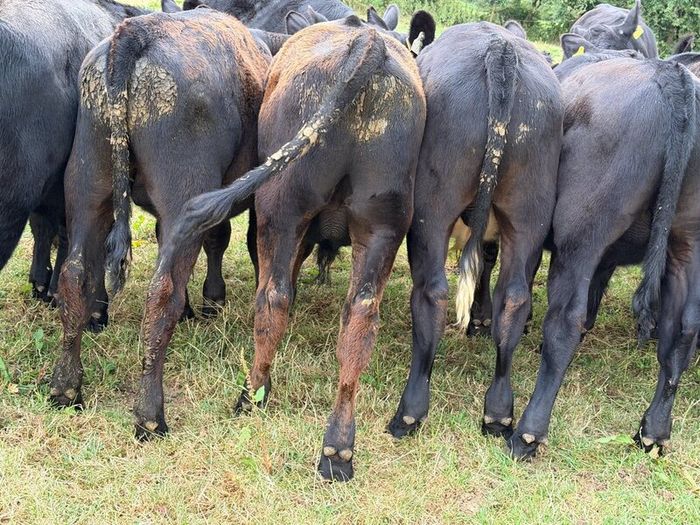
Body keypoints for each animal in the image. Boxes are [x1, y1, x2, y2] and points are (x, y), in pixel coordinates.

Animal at [48, 9, 270, 433]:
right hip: (185, 195)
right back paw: (150, 417)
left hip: (87, 186)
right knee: (162, 292)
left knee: (74, 276)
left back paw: (65, 390)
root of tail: (136, 33)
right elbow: (230, 240)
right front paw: (212, 301)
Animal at [163, 14, 431, 481]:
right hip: (384, 223)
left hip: (280, 207)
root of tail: (367, 42)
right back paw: (338, 447)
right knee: (360, 319)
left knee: (272, 299)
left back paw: (252, 395)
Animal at [384, 22, 563, 441]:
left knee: (432, 293)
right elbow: (486, 261)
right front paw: (481, 319)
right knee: (514, 297)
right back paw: (498, 411)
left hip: (432, 212)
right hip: (528, 212)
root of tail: (500, 50)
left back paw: (410, 411)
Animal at [504, 56, 700, 459]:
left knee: (565, 319)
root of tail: (671, 74)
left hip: (581, 233)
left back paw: (528, 433)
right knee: (683, 329)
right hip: (686, 240)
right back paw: (653, 431)